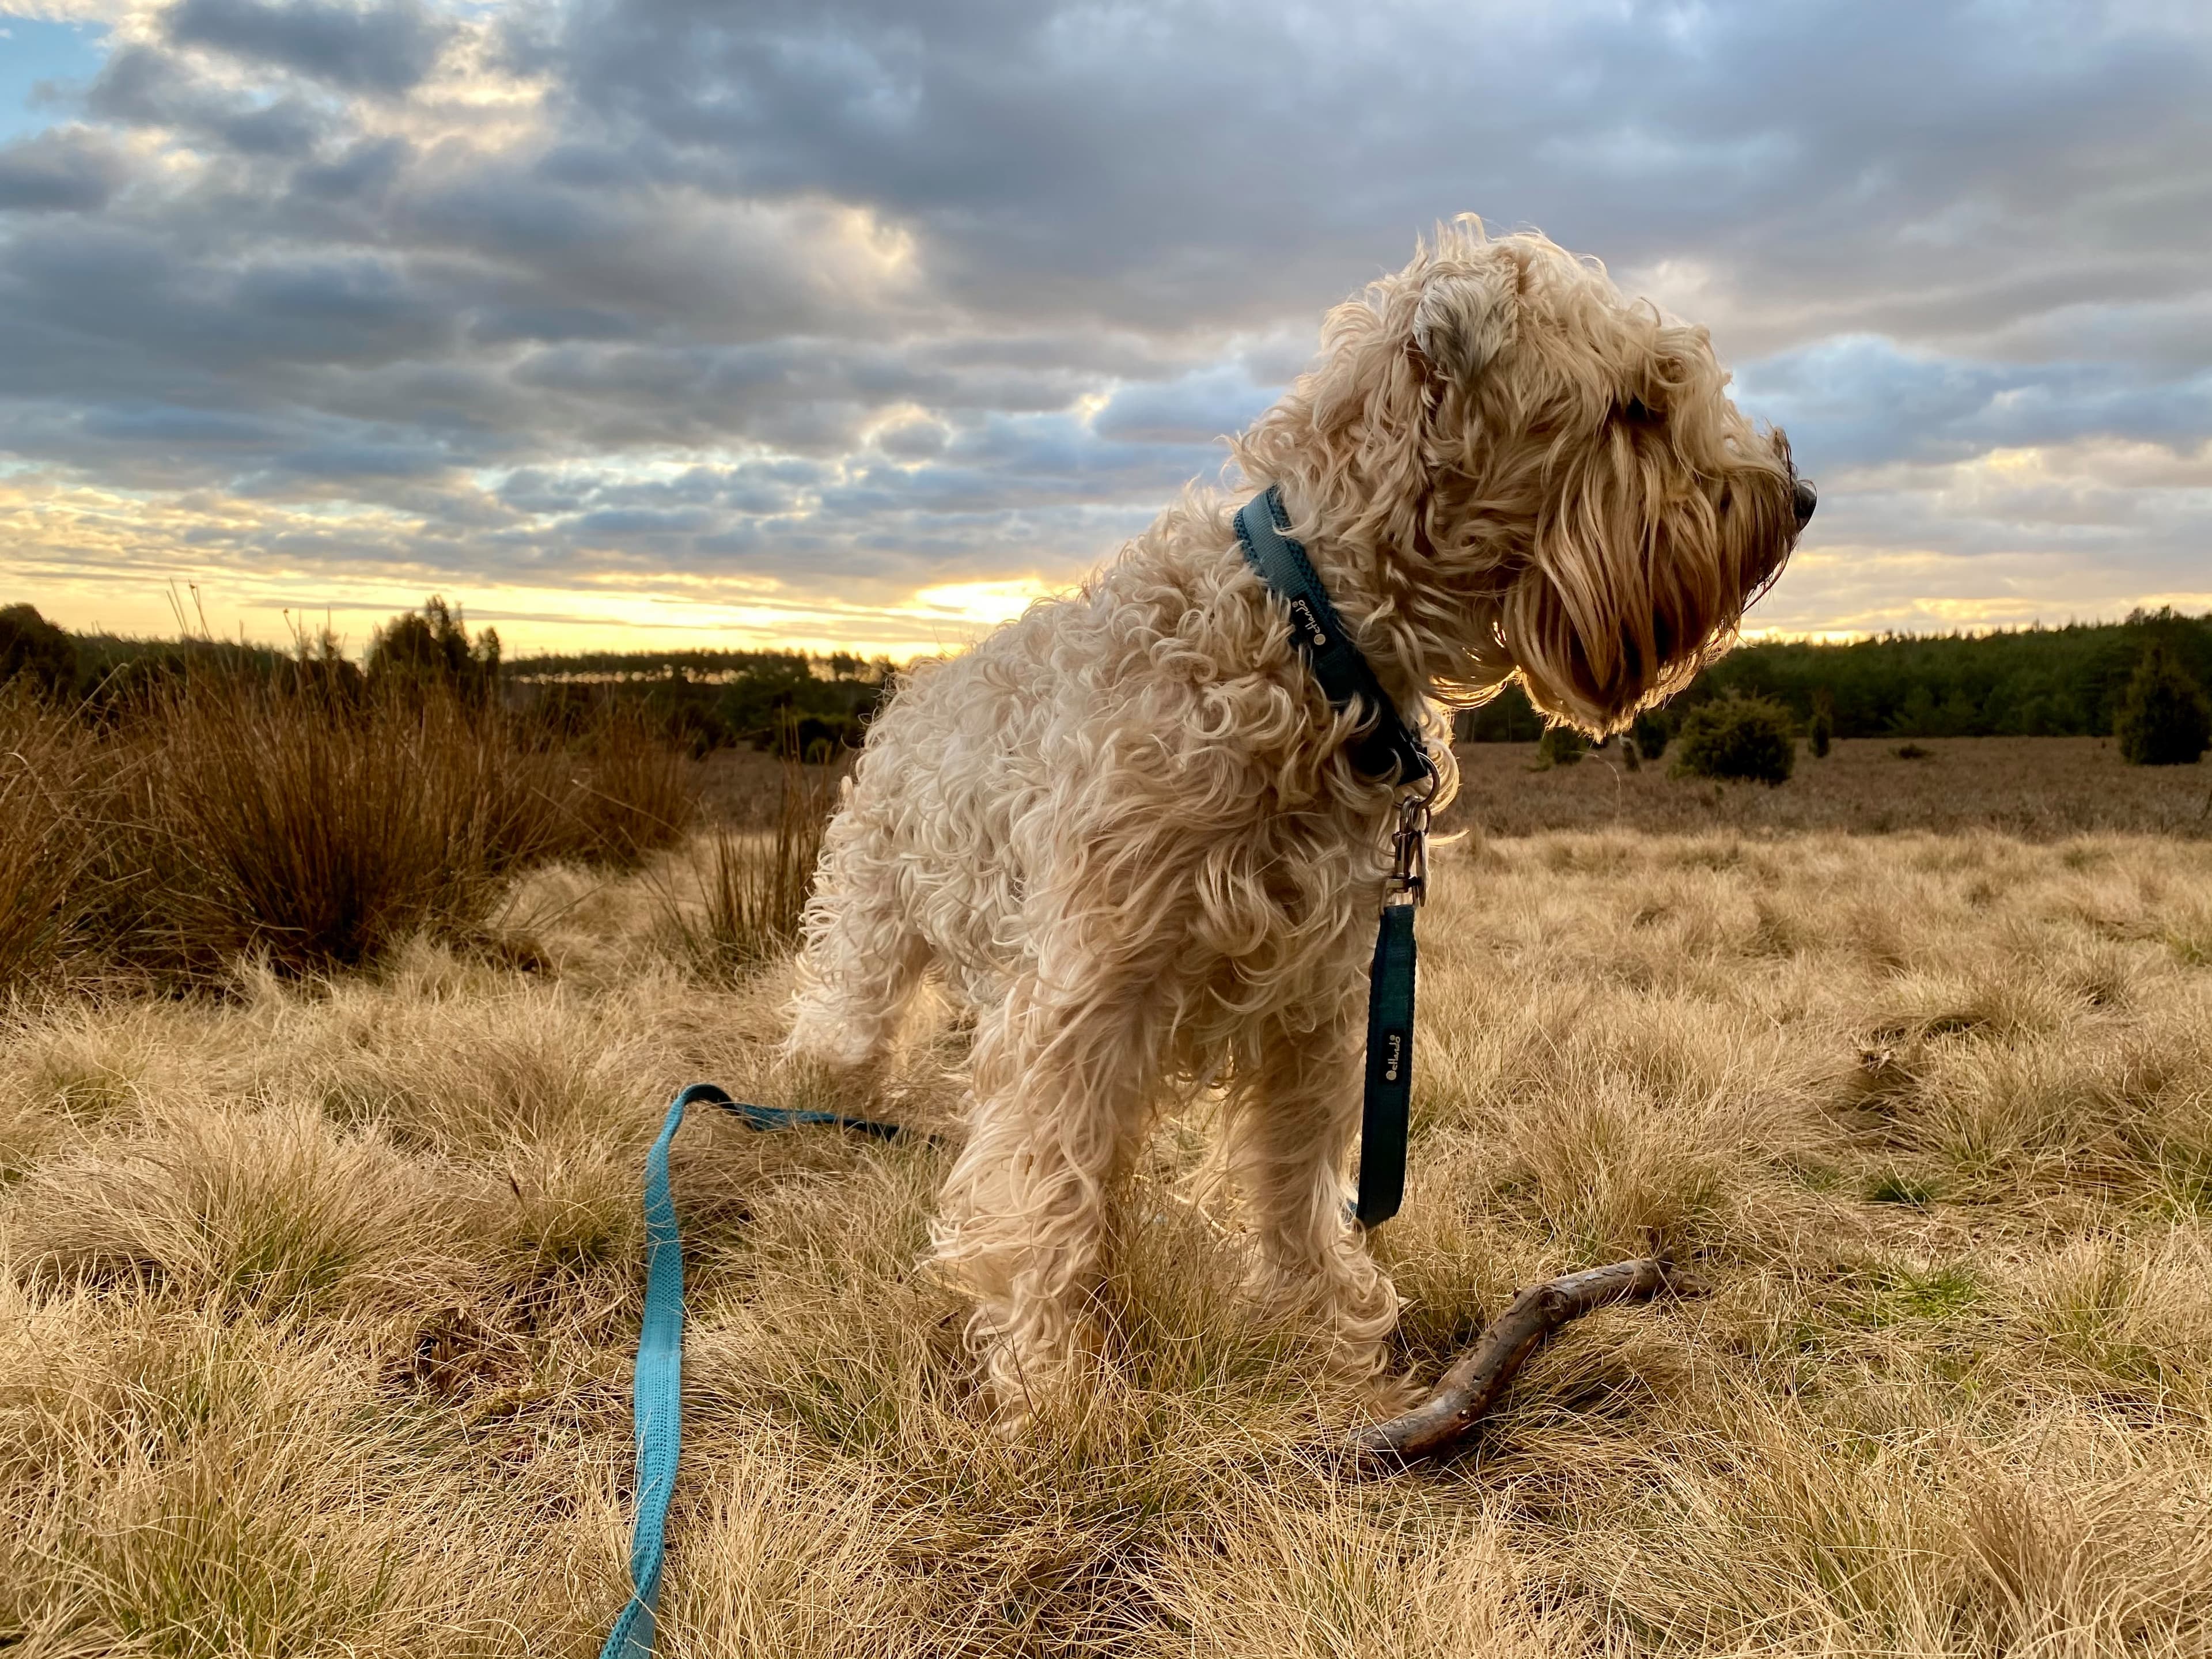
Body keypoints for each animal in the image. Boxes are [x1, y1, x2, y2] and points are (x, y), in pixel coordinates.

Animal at [791, 218, 1813, 1415]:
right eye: (1636, 404)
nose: (1796, 499)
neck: (1314, 638)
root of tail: (908, 697)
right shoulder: (1090, 989)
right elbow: (1053, 1185)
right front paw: (1054, 1380)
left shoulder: (1320, 994)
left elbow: (1291, 1176)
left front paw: (1324, 1331)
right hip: (872, 926)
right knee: (841, 1022)